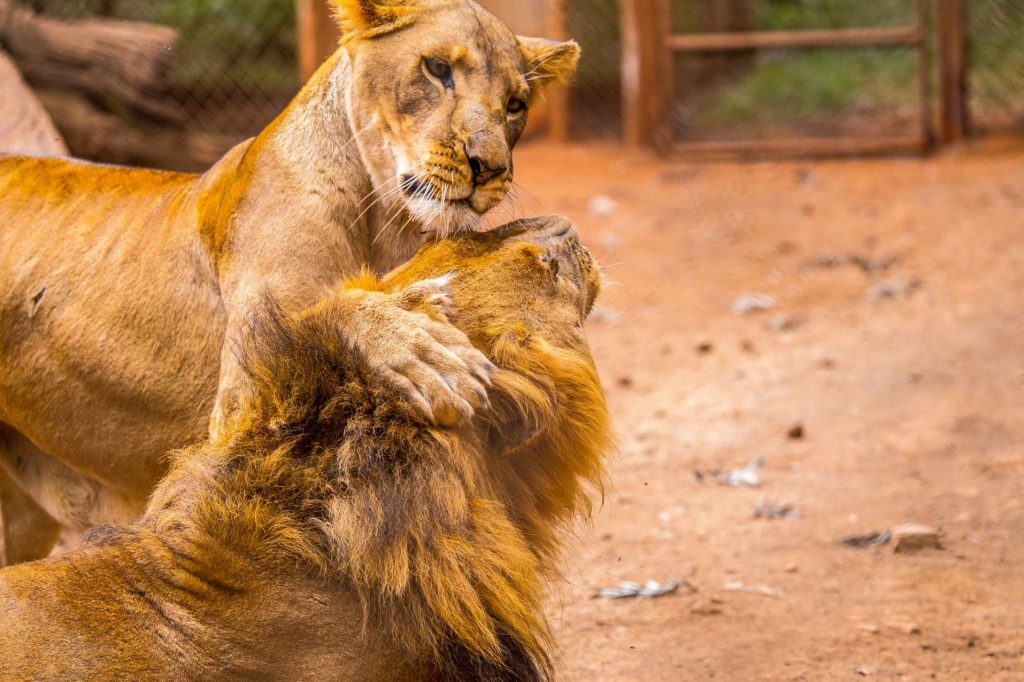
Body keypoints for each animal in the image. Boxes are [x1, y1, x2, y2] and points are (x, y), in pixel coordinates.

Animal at [0, 0, 580, 565]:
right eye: (437, 69)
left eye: (516, 105)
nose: (490, 168)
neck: (388, 223)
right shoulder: (237, 414)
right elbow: (323, 314)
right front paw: (421, 346)